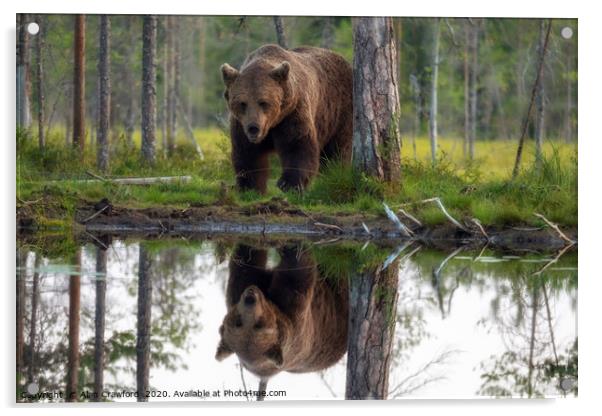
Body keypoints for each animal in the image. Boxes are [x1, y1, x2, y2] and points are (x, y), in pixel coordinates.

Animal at [214, 242, 346, 382]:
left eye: (238, 322)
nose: (250, 298)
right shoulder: (296, 321)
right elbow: (295, 273)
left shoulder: (238, 292)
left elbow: (245, 265)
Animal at [220, 44, 352, 193]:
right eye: (242, 103)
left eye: (263, 102)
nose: (253, 128)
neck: (272, 124)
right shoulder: (240, 124)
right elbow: (247, 152)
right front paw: (250, 187)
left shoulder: (292, 114)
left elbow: (296, 145)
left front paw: (288, 183)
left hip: (338, 112)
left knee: (337, 150)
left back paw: (334, 174)